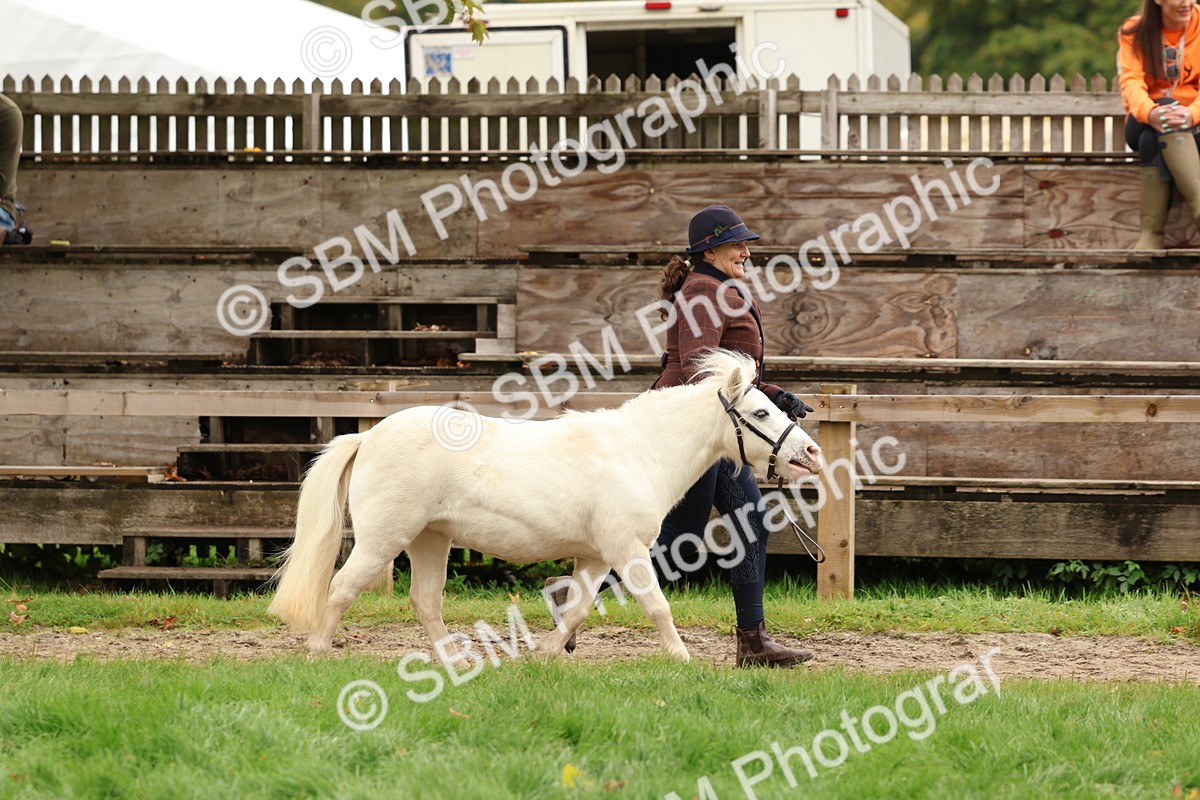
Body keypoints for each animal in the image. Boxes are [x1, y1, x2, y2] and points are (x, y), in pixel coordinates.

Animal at [267, 348, 823, 662]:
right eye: (759, 413)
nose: (811, 453)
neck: (639, 450)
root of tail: (368, 437)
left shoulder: (596, 556)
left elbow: (576, 609)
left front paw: (549, 652)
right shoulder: (626, 549)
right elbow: (656, 605)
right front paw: (682, 658)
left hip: (431, 539)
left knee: (425, 601)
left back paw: (454, 660)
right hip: (385, 539)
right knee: (341, 588)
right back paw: (318, 651)